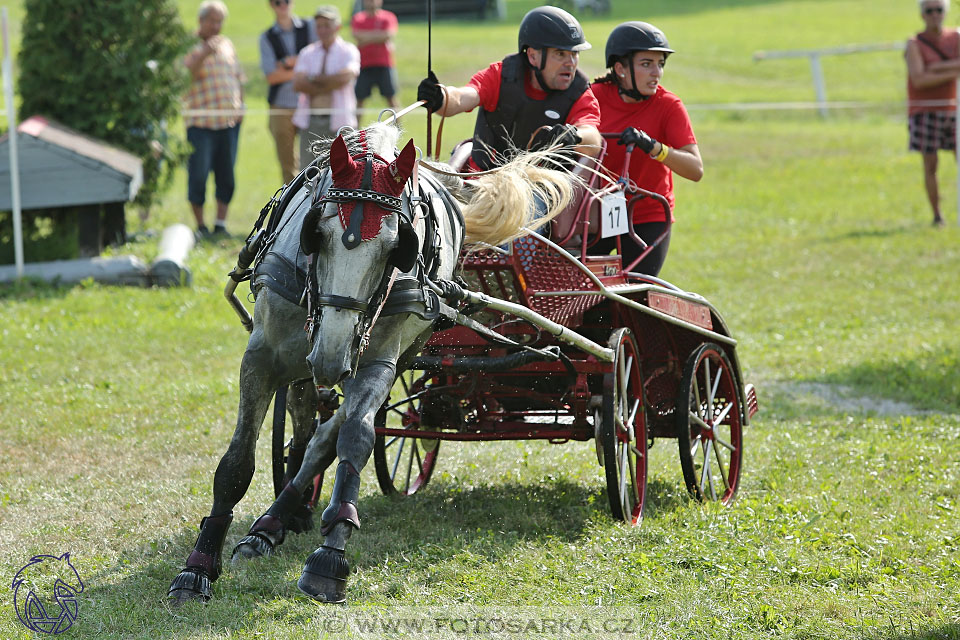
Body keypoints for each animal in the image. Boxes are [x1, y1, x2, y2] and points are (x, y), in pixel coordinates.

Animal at [168, 121, 572, 604]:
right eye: (316, 234)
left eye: (395, 247)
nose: (331, 354)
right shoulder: (262, 356)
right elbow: (237, 462)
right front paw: (197, 567)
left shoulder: (378, 362)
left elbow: (355, 441)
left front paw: (330, 553)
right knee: (305, 420)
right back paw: (273, 523)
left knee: (325, 436)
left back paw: (285, 515)